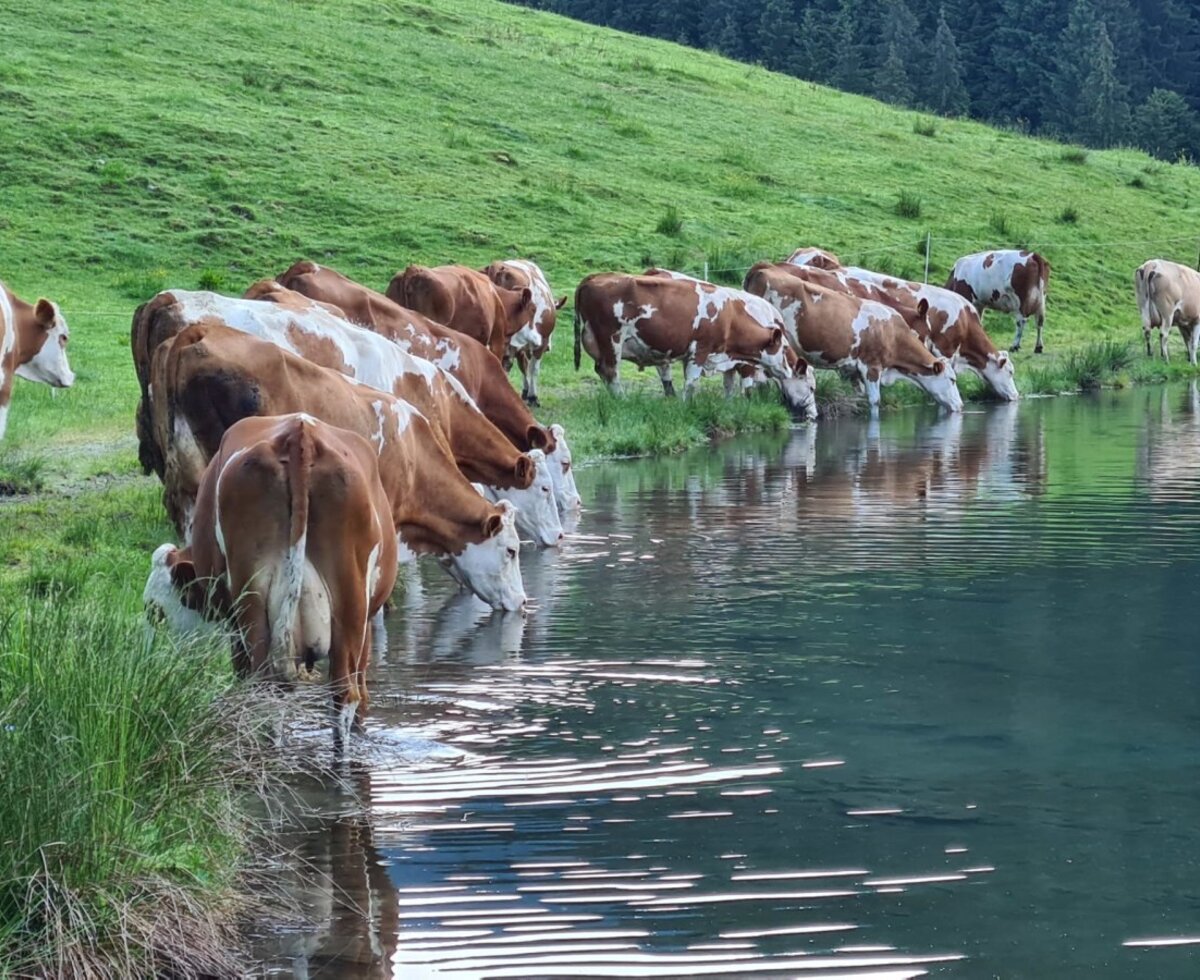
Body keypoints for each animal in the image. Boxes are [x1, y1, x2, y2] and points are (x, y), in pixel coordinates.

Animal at [481, 259, 566, 407]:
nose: (549, 348)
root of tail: (498, 266)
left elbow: (521, 365)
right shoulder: (539, 342)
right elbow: (533, 368)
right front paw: (532, 396)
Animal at [572, 271, 818, 420]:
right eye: (811, 387)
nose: (815, 415)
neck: (731, 317)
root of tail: (595, 277)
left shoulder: (721, 358)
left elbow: (728, 384)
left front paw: (729, 405)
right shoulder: (700, 350)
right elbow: (693, 383)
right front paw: (687, 407)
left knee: (603, 371)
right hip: (611, 338)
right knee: (611, 371)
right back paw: (622, 400)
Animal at [743, 262, 963, 413]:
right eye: (952, 380)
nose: (960, 405)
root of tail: (764, 267)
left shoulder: (851, 368)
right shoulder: (870, 366)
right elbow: (874, 401)